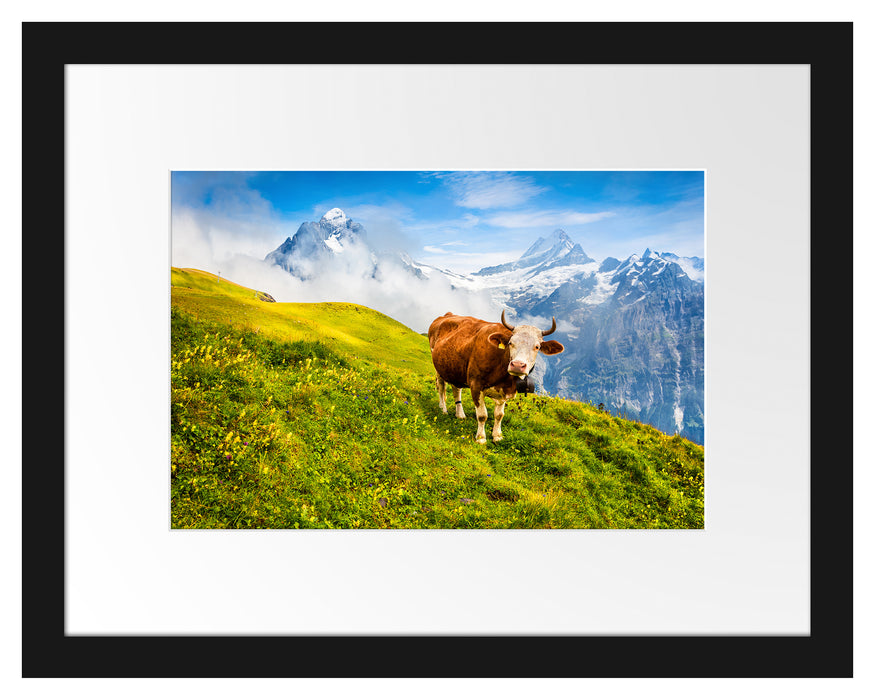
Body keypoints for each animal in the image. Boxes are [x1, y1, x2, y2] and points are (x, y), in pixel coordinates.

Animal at [427, 310, 565, 444]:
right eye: (510, 343)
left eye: (537, 347)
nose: (517, 365)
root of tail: (447, 315)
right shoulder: (476, 385)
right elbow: (482, 415)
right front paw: (481, 438)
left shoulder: (505, 391)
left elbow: (499, 415)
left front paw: (497, 436)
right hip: (438, 367)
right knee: (441, 387)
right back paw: (443, 409)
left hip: (455, 369)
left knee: (456, 390)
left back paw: (460, 414)